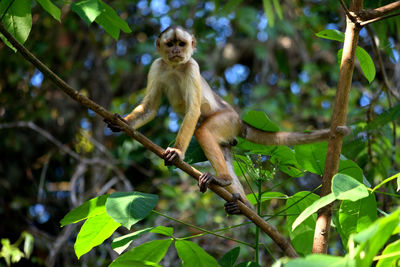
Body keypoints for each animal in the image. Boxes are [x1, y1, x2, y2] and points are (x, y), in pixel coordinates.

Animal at [105, 26, 346, 216]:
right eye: (170, 44)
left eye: (181, 44)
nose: (176, 51)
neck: (174, 66)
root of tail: (238, 119)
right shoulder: (157, 65)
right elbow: (150, 108)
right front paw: (123, 123)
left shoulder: (192, 67)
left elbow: (193, 111)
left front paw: (177, 153)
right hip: (228, 136)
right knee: (221, 151)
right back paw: (243, 205)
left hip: (226, 119)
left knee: (202, 130)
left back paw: (223, 181)